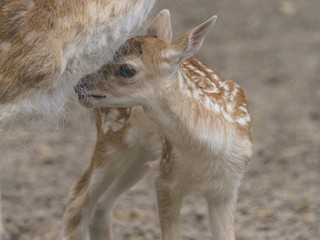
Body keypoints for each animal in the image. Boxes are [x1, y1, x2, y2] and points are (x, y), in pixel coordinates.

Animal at [66, 9, 252, 240]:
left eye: (127, 69)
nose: (79, 85)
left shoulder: (228, 187)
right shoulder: (165, 177)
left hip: (140, 156)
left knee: (101, 205)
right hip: (112, 140)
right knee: (77, 202)